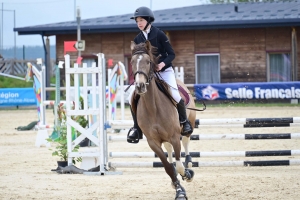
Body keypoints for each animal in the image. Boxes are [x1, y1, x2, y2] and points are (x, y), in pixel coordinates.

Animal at [130, 40, 196, 200]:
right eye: (132, 62)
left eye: (148, 62)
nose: (139, 86)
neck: (153, 107)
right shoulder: (153, 142)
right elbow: (168, 167)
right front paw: (178, 187)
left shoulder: (174, 136)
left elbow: (179, 165)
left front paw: (186, 176)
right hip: (164, 138)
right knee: (169, 150)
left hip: (188, 125)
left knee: (186, 140)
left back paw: (189, 164)